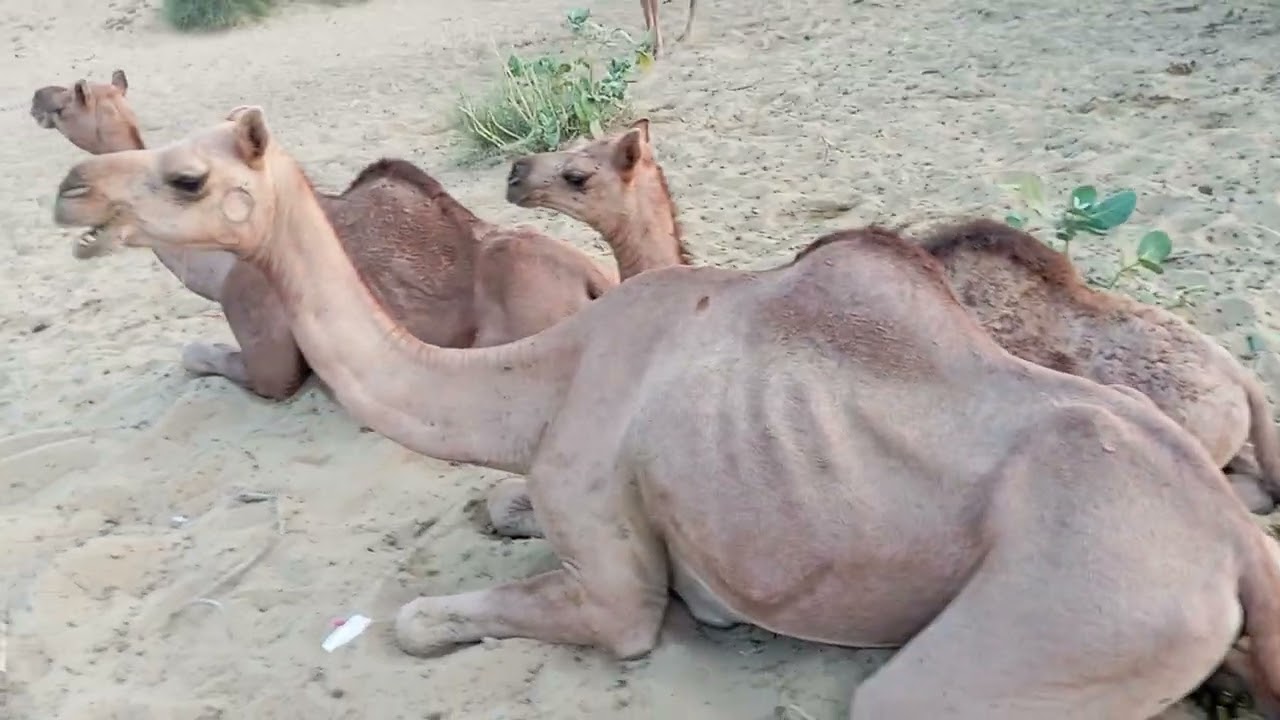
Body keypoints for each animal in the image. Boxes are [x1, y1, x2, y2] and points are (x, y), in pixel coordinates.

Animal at [31, 71, 617, 400]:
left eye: (67, 101)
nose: (36, 99)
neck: (217, 267)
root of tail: (595, 283)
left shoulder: (264, 349)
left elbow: (200, 356)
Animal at [51, 106, 1280, 719]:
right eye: (149, 147)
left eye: (185, 177)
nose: (69, 192)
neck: (542, 382)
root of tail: (1232, 548)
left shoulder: (614, 575)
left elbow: (426, 619)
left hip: (1061, 626)